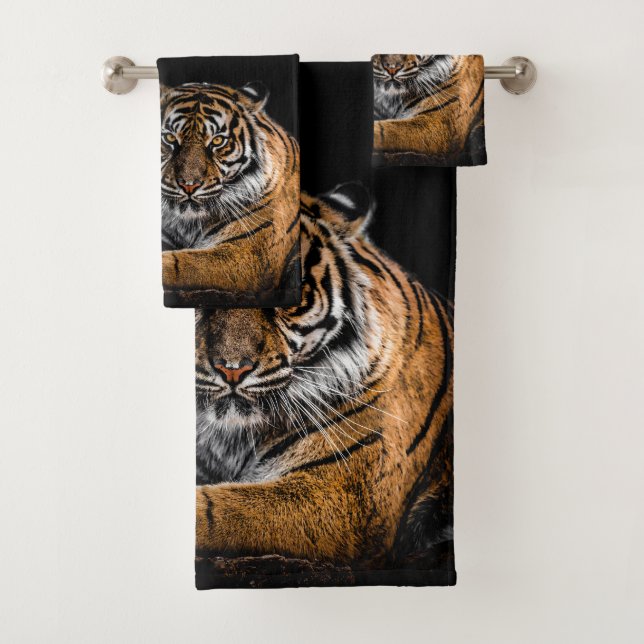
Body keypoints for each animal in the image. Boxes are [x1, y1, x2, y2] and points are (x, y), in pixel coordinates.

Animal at [160, 82, 300, 301]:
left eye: (217, 141)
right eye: (168, 138)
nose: (189, 184)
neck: (188, 223)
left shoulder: (251, 255)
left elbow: (183, 265)